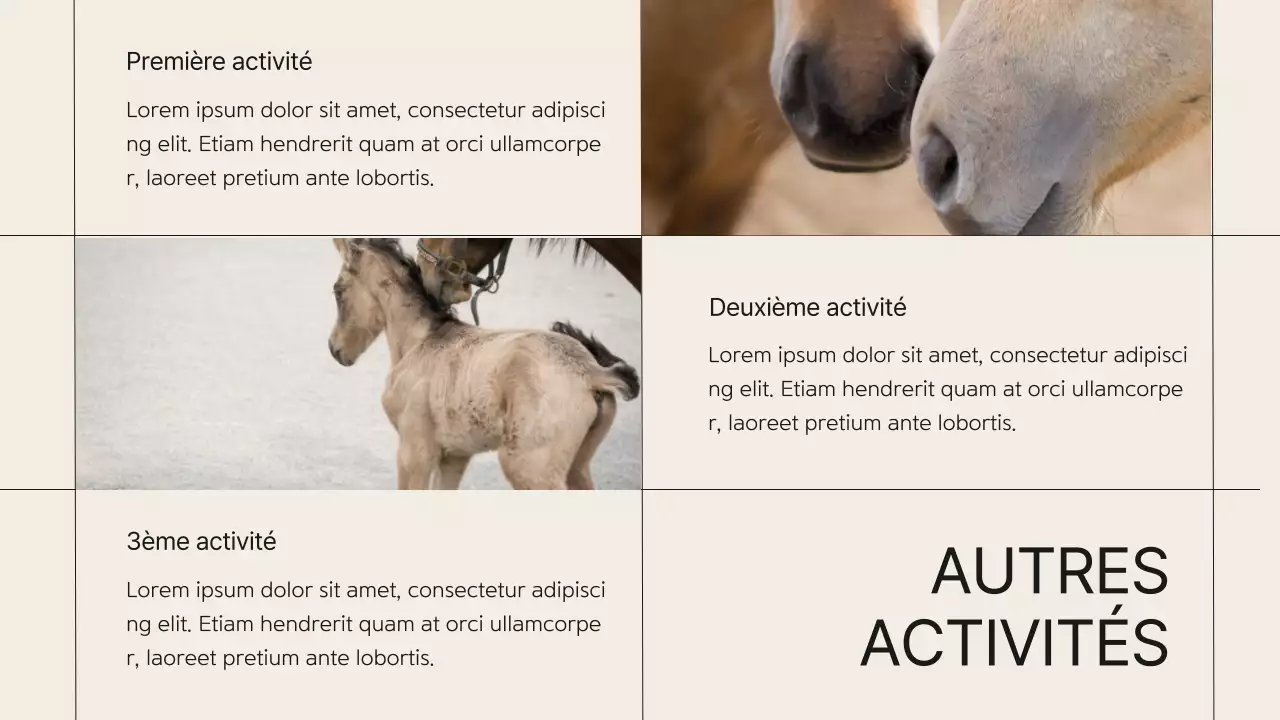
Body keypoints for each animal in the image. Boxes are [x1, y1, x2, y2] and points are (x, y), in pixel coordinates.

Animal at [327, 238, 639, 490]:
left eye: (337, 291)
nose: (334, 349)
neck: (422, 340)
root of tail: (593, 372)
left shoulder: (414, 452)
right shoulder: (454, 456)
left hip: (528, 466)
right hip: (576, 466)